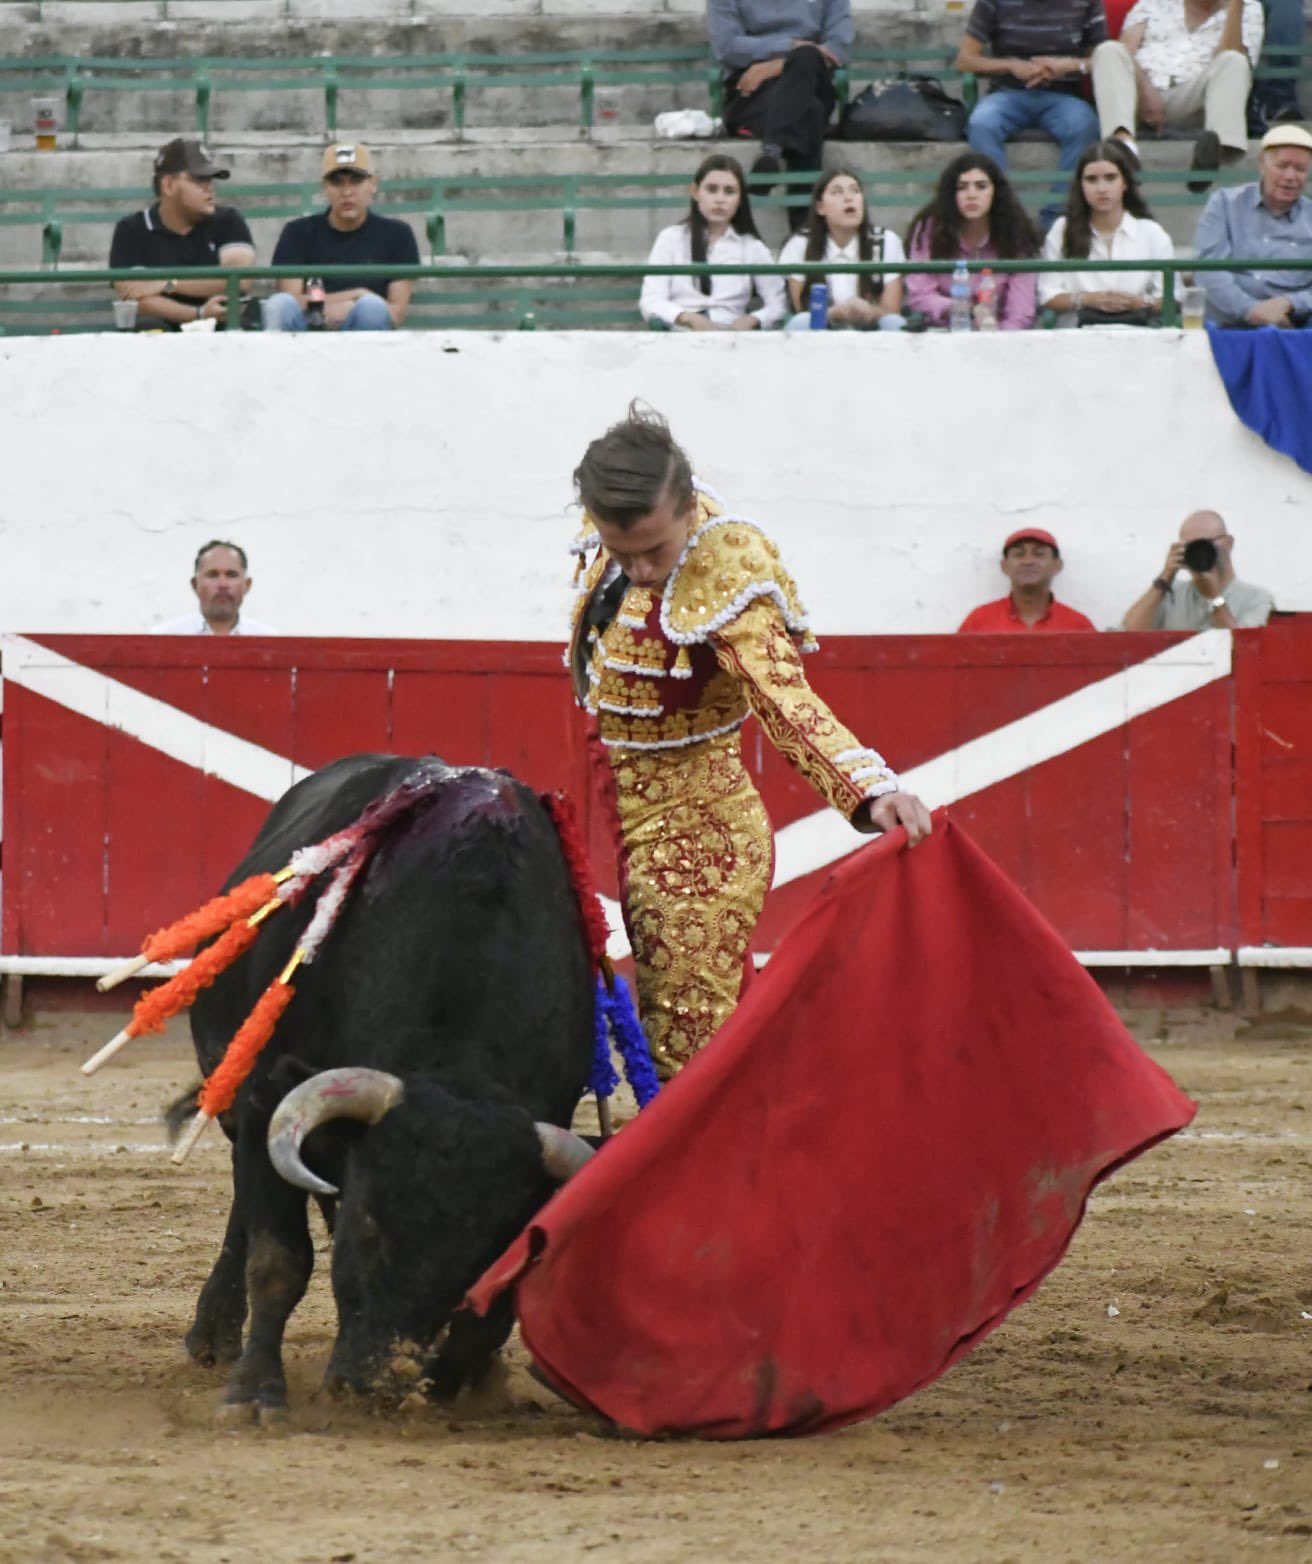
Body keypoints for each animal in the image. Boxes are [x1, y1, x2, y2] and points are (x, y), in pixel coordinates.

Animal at [179, 753, 594, 1420]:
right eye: (367, 1226)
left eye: (484, 1257)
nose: (374, 1382)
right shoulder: (269, 1096)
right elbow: (279, 1259)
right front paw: (254, 1395)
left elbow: (493, 1314)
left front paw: (465, 1381)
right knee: (248, 1211)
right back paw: (214, 1335)